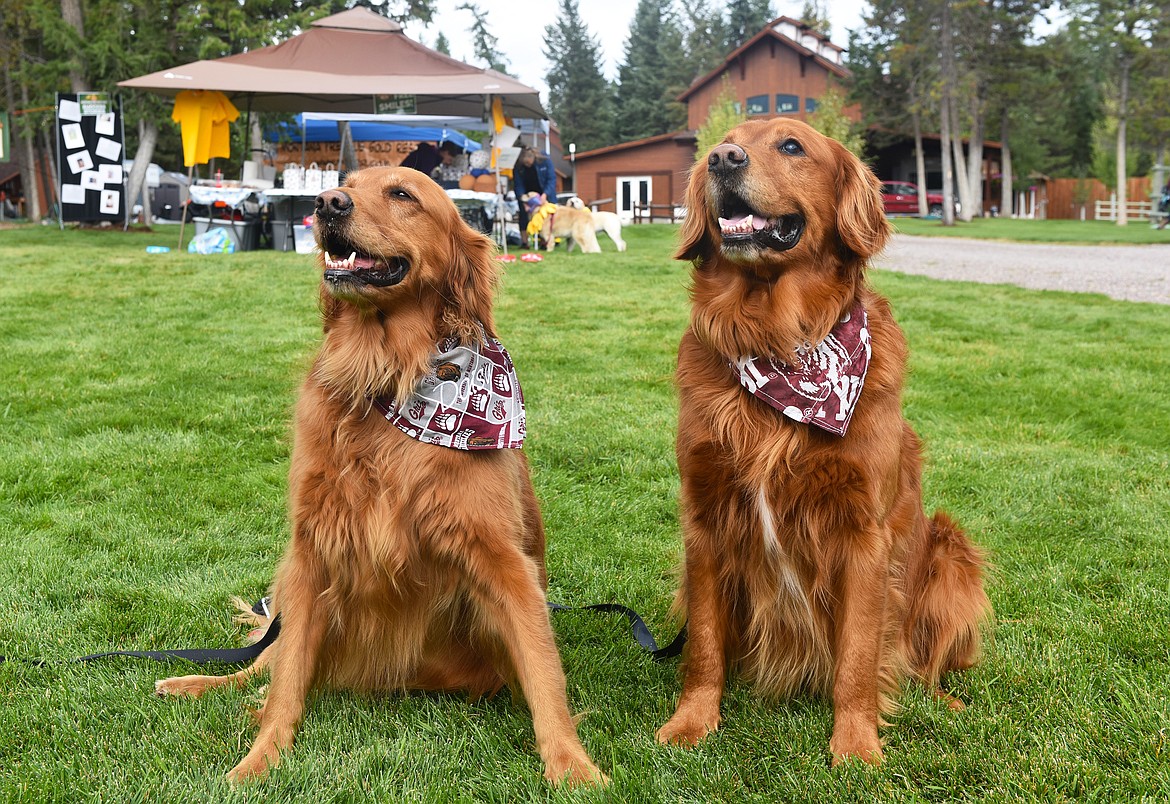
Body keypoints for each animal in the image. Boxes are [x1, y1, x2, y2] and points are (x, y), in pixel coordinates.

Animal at [154, 166, 603, 791]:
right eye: (346, 182)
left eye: (402, 194)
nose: (324, 203)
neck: (388, 376)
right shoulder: (311, 550)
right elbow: (285, 687)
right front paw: (258, 762)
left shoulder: (503, 560)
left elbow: (544, 675)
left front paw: (573, 766)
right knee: (262, 666)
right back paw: (194, 683)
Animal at [655, 119, 992, 767]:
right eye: (726, 139)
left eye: (791, 146)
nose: (722, 159)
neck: (778, 343)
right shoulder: (705, 519)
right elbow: (704, 643)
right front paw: (692, 722)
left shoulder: (863, 533)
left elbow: (859, 655)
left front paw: (856, 745)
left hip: (951, 554)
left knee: (925, 663)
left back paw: (945, 702)